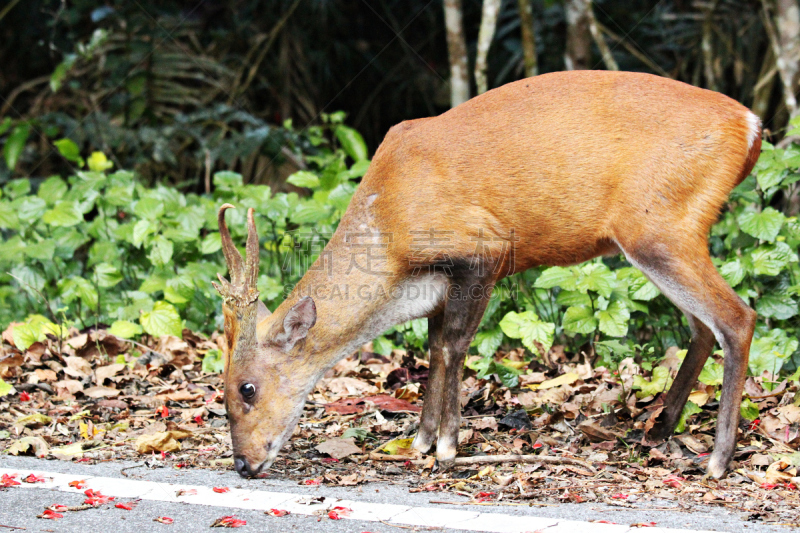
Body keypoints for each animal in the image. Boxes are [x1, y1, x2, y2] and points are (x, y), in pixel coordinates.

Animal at [212, 69, 764, 478]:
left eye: (246, 388)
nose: (242, 463)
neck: (389, 229)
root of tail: (751, 124)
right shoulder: (435, 281)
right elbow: (434, 345)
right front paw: (420, 440)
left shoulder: (485, 247)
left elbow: (455, 343)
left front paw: (448, 447)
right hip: (663, 235)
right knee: (702, 327)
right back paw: (656, 431)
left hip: (660, 224)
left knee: (738, 317)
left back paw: (717, 461)